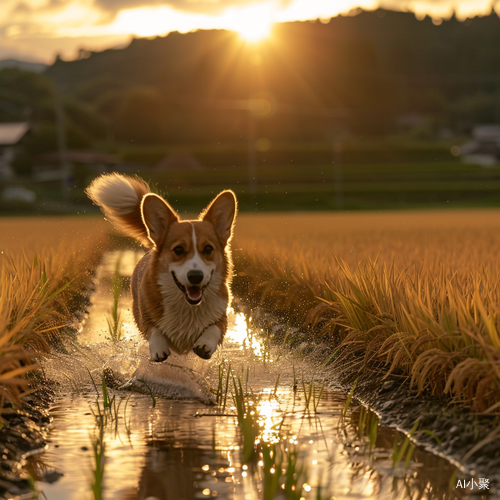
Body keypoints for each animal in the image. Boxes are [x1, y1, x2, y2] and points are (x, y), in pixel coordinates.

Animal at [85, 174, 237, 362]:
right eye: (178, 250)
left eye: (208, 249)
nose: (195, 276)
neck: (187, 306)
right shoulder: (143, 317)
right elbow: (153, 330)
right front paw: (159, 349)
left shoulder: (221, 317)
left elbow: (214, 329)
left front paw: (205, 345)